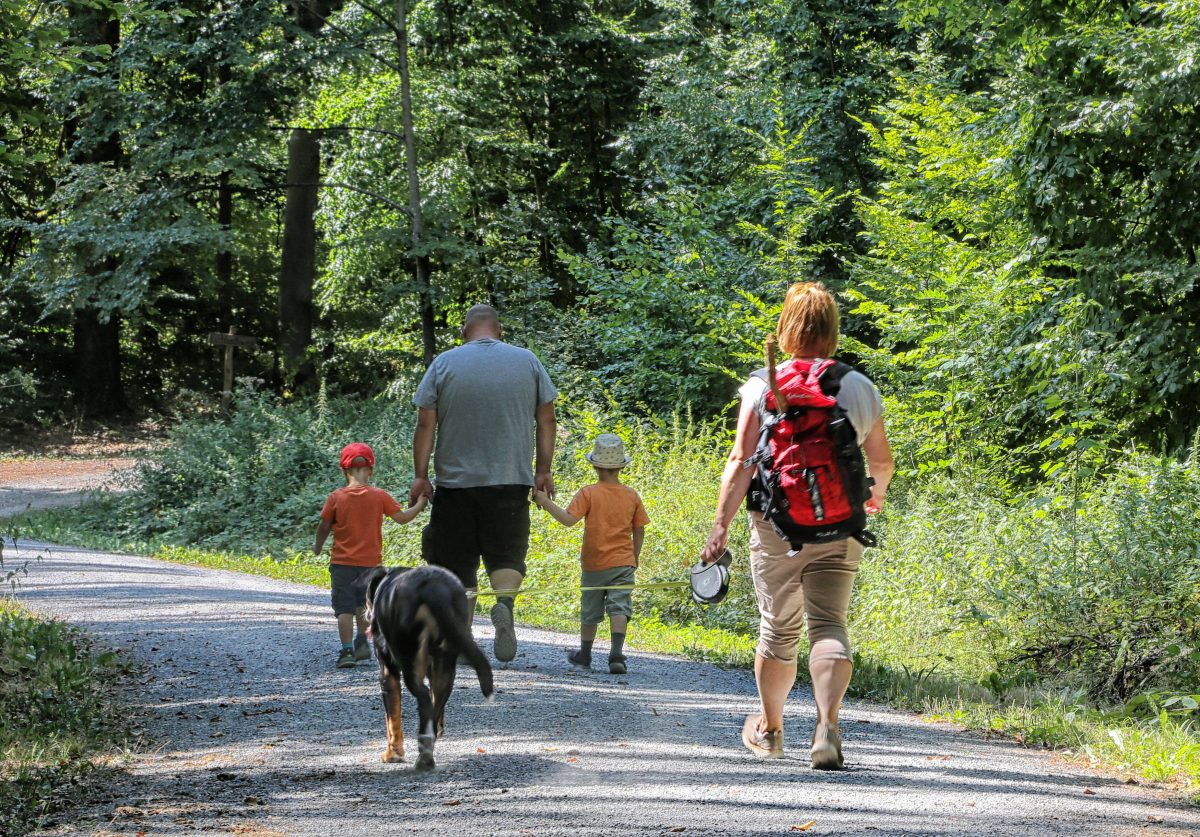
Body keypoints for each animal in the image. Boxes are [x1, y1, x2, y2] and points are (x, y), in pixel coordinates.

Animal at [364, 561, 496, 767]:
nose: (367, 614)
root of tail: (434, 588)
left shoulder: (387, 674)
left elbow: (392, 721)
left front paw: (393, 753)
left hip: (410, 661)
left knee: (424, 697)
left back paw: (424, 754)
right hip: (446, 665)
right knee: (434, 706)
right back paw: (427, 752)